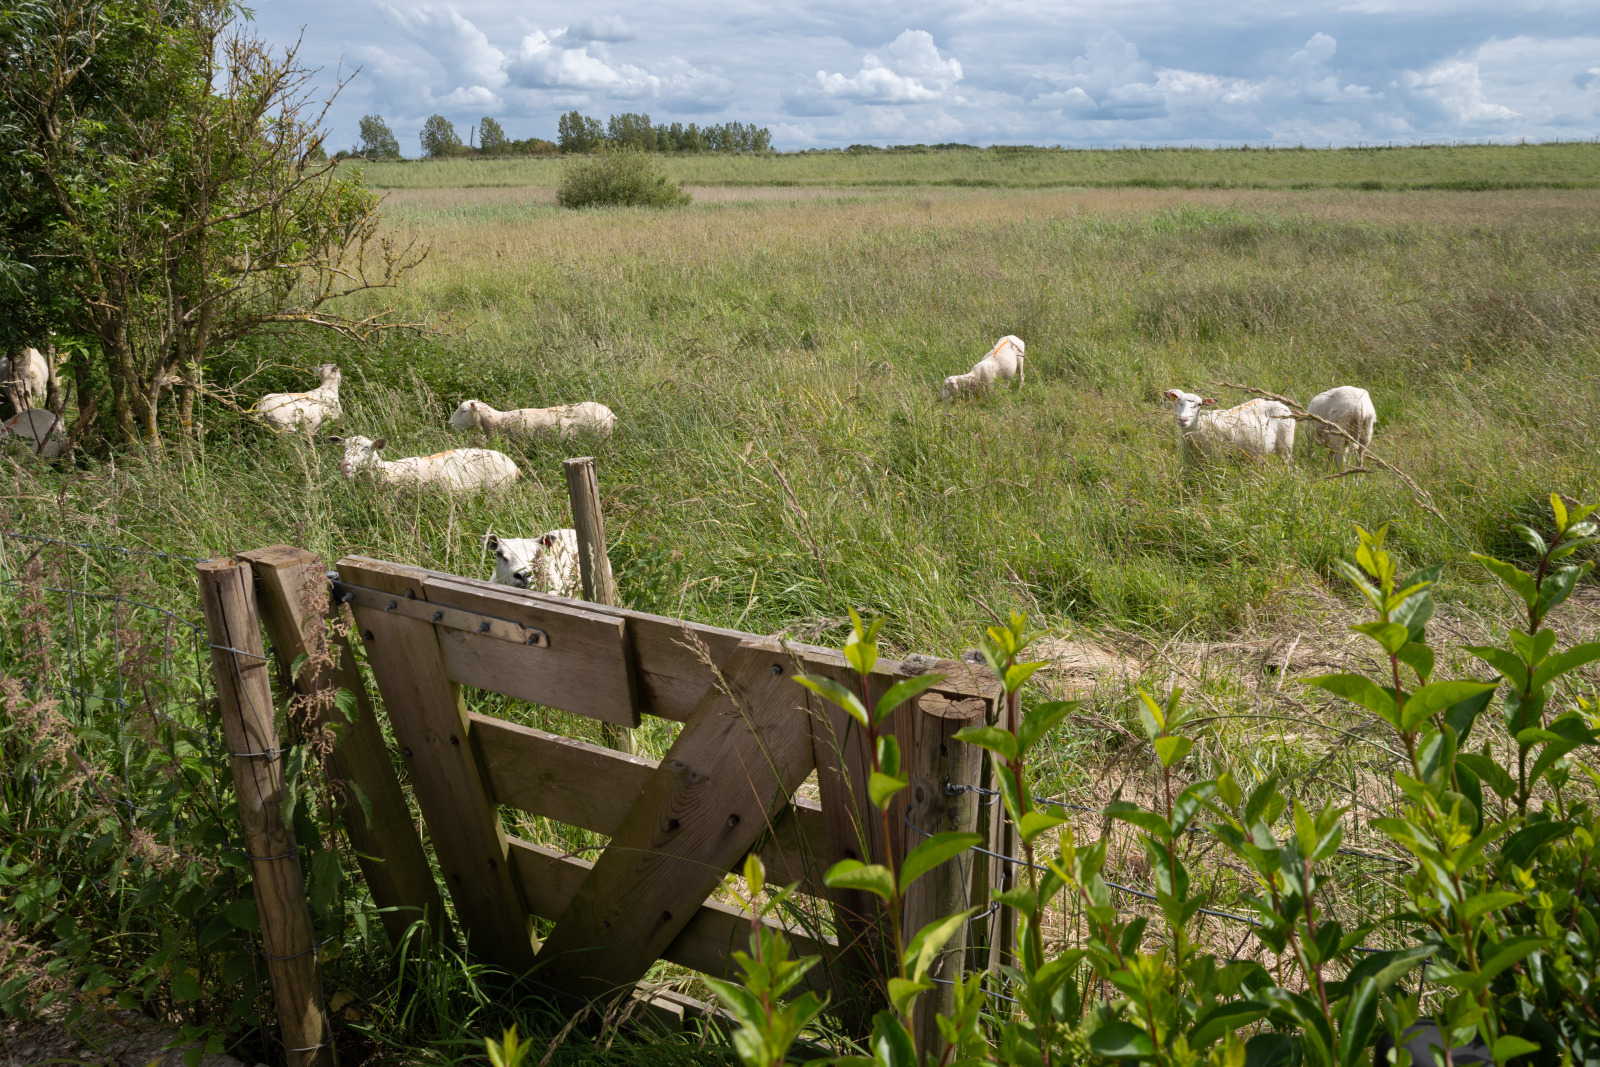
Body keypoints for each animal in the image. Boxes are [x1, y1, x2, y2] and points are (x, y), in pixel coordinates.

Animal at [1164, 388, 1299, 463]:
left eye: (1199, 404)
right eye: (1178, 401)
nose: (1183, 419)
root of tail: (1280, 402)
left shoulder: (1217, 458)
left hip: (1286, 444)